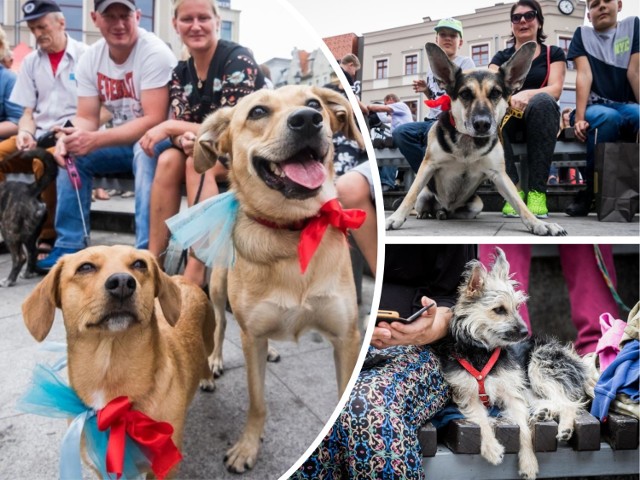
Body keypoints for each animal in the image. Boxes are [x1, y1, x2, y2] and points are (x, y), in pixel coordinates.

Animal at [0, 148, 57, 286]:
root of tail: (30, 188)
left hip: (8, 229)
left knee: (20, 257)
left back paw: (9, 280)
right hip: (30, 233)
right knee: (33, 252)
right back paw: (27, 273)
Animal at [192, 85, 364, 472]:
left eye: (315, 104)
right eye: (257, 112)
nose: (308, 120)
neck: (293, 230)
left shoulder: (346, 338)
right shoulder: (251, 336)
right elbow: (257, 401)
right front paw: (247, 447)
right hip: (218, 290)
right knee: (219, 328)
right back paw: (213, 363)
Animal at [384, 42, 564, 235]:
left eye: (496, 93)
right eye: (465, 94)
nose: (482, 124)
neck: (468, 142)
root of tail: (445, 206)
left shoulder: (499, 174)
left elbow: (519, 203)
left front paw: (537, 223)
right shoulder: (428, 166)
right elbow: (410, 195)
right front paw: (394, 218)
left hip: (476, 204)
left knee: (453, 213)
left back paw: (442, 213)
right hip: (426, 195)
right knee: (420, 203)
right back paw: (426, 213)